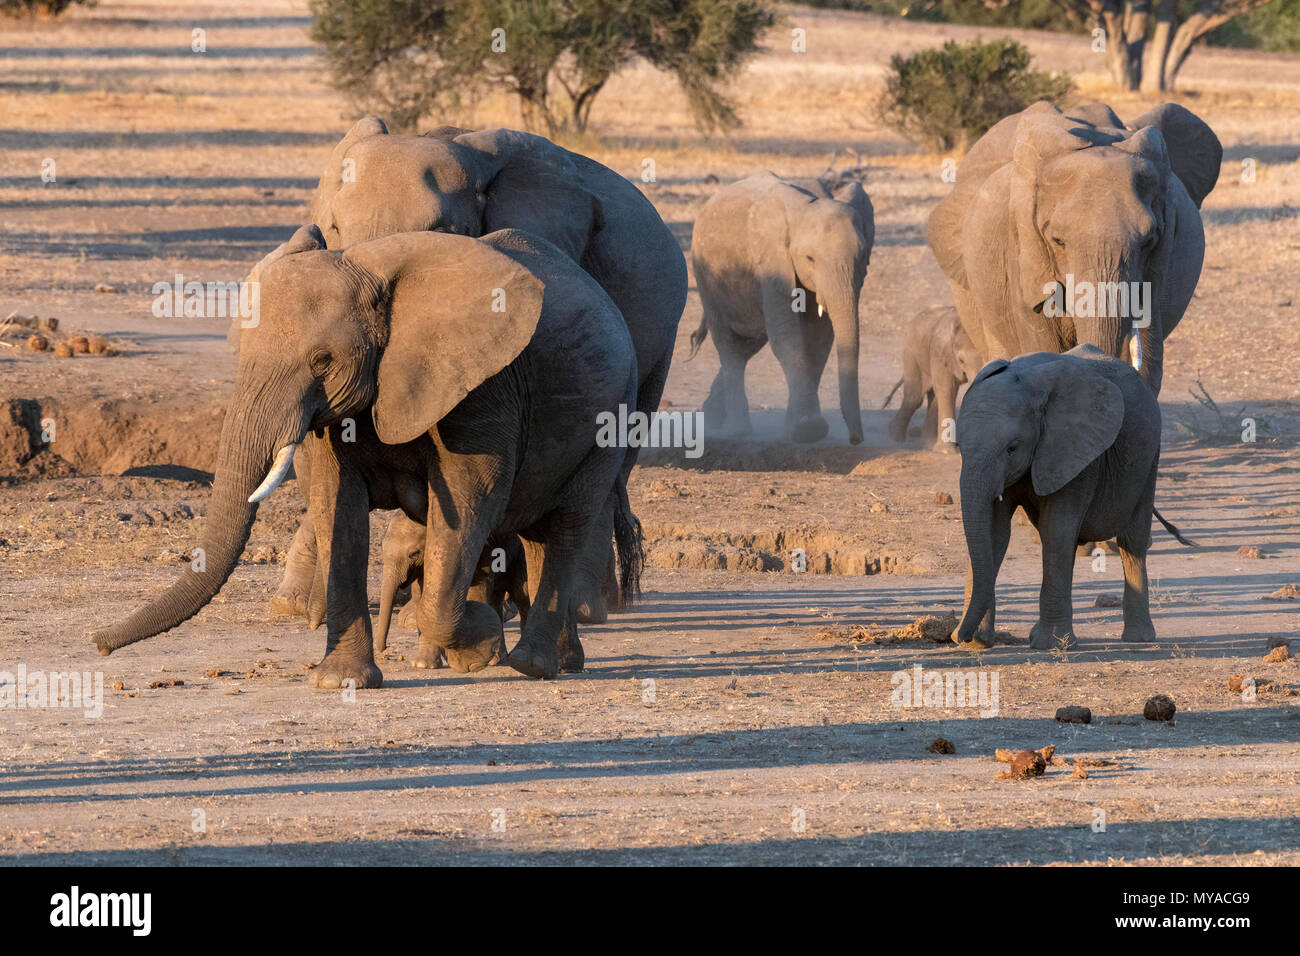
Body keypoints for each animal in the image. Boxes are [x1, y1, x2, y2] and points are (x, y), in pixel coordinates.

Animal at [377, 515, 533, 658]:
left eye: (413, 553)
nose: (385, 649)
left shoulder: (482, 549)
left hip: (521, 555)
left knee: (521, 595)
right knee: (497, 598)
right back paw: (501, 657)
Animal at [883, 308, 982, 455]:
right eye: (961, 360)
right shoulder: (940, 352)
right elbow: (947, 390)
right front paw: (947, 452)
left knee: (932, 395)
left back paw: (928, 445)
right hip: (911, 352)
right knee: (914, 397)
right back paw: (894, 438)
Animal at [956, 348, 1159, 655]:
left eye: (1012, 448)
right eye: (958, 447)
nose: (961, 638)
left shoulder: (1078, 452)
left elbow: (1056, 530)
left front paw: (1049, 644)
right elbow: (994, 532)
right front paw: (978, 643)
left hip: (1150, 456)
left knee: (1132, 543)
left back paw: (1138, 639)